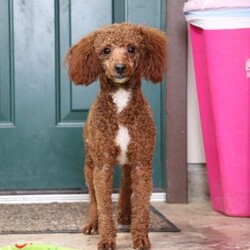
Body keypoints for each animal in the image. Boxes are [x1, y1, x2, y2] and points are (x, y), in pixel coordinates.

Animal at [66, 22, 167, 249]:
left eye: (131, 48)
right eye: (106, 50)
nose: (120, 67)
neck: (120, 100)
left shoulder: (141, 163)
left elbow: (141, 205)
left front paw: (140, 238)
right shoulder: (102, 165)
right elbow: (103, 206)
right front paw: (105, 239)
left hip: (128, 164)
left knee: (125, 185)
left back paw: (124, 214)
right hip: (89, 166)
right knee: (93, 197)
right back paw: (92, 223)